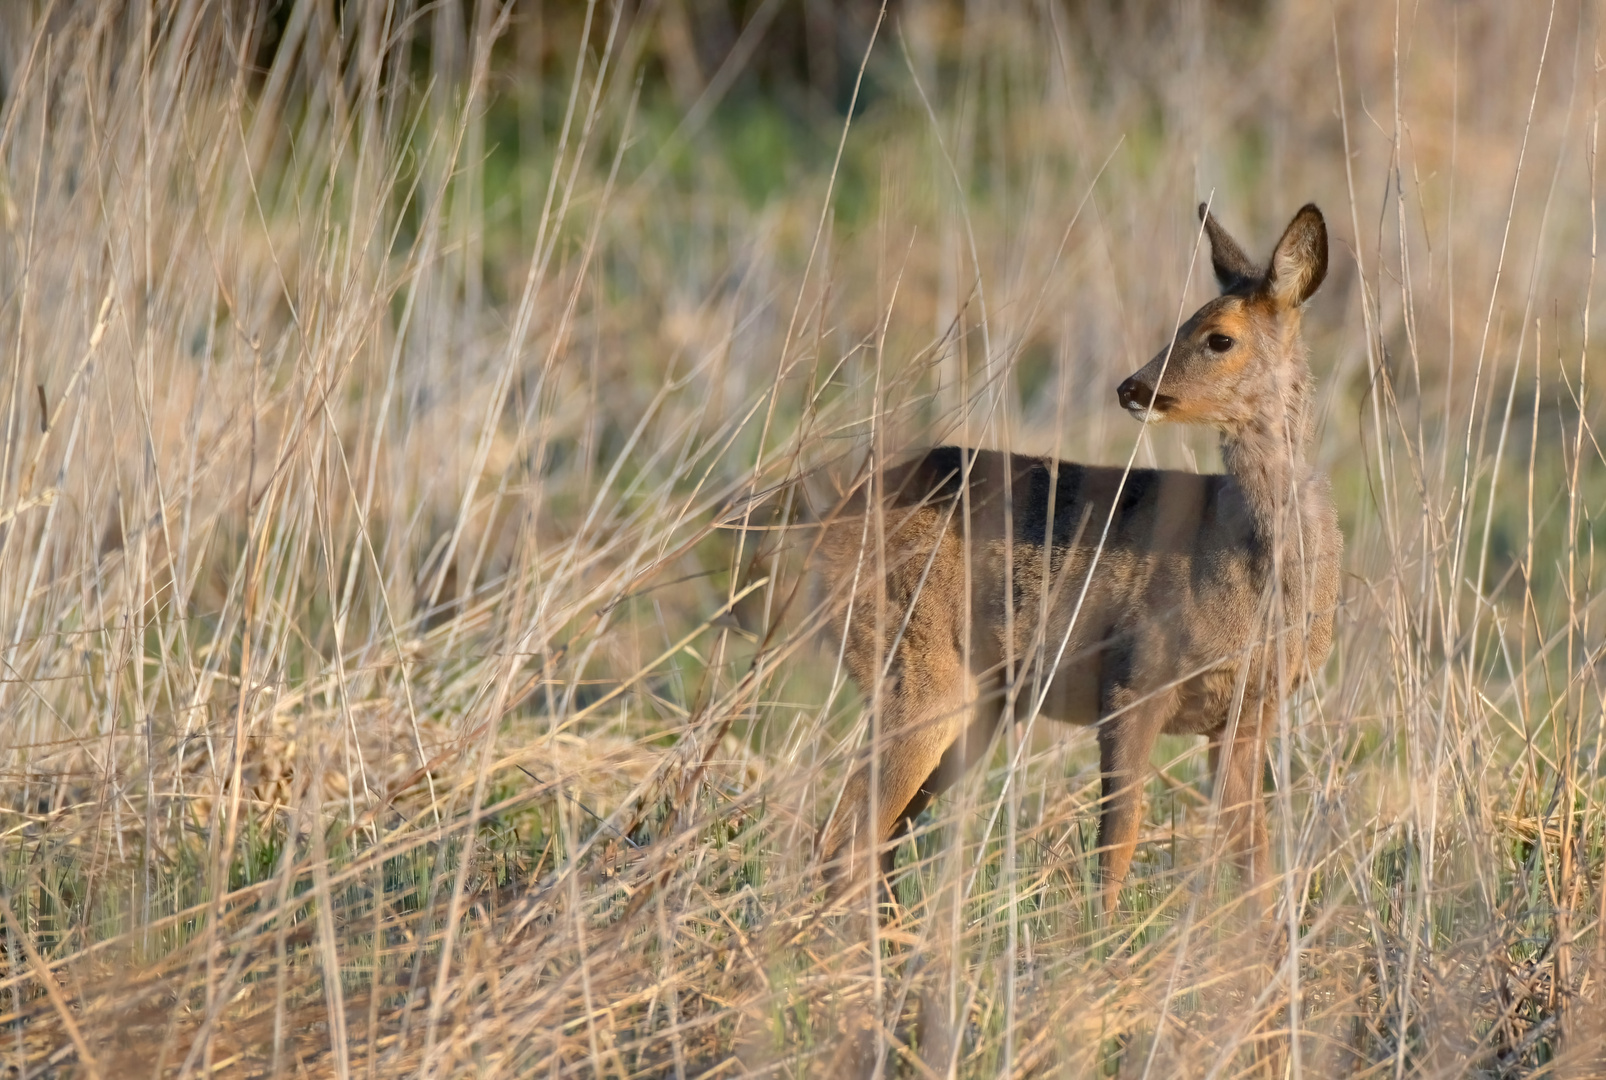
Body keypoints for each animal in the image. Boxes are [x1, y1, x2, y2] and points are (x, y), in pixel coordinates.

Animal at [815, 200, 1342, 912]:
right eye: (1183, 323)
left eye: (1219, 338)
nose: (1133, 387)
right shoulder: (1130, 677)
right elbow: (1117, 844)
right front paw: (1104, 935)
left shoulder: (1250, 714)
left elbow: (1252, 863)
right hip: (915, 672)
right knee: (845, 839)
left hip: (974, 705)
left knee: (877, 840)